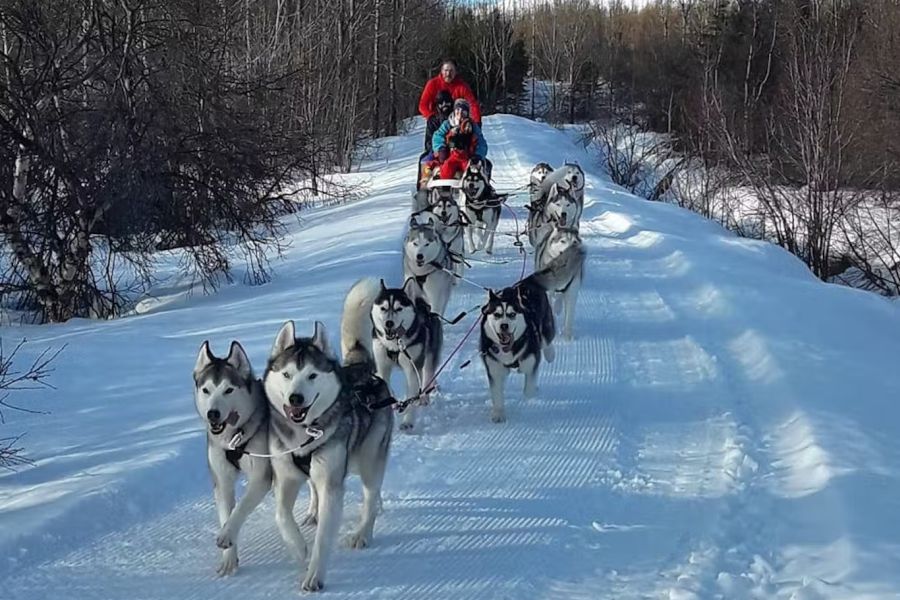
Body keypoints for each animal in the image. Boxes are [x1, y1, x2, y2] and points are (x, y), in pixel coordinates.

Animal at [192, 340, 270, 576]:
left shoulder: (261, 477)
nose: (213, 414)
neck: (233, 439)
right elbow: (226, 514)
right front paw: (229, 560)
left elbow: (240, 509)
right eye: (206, 390)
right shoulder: (222, 480)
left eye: (228, 390)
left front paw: (227, 535)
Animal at [266, 278, 396, 592]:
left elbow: (324, 537)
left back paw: (363, 532)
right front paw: (299, 548)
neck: (303, 436)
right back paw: (314, 513)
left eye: (312, 375)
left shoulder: (332, 485)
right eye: (286, 374)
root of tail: (361, 370)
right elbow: (281, 515)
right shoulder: (285, 478)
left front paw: (314, 574)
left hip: (368, 460)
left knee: (371, 494)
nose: (296, 398)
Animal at [370, 278, 444, 428]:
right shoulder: (382, 366)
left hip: (427, 358)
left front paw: (407, 421)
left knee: (427, 375)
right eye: (383, 308)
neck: (394, 345)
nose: (389, 323)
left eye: (399, 308)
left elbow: (411, 393)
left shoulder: (412, 367)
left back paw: (423, 398)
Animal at [478, 278, 556, 424]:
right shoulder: (494, 368)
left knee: (546, 341)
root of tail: (527, 281)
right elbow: (497, 394)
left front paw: (531, 393)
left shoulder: (531, 362)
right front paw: (498, 413)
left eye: (512, 314)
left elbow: (528, 390)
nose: (504, 326)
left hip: (546, 328)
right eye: (496, 315)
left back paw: (550, 354)